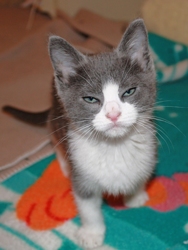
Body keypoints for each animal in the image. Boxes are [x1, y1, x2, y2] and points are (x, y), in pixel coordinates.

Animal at [47, 19, 156, 248]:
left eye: (129, 92)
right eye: (91, 99)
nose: (113, 114)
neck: (114, 147)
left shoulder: (149, 151)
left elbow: (140, 173)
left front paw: (135, 196)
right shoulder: (82, 172)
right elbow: (88, 207)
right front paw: (91, 233)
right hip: (54, 118)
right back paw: (64, 165)